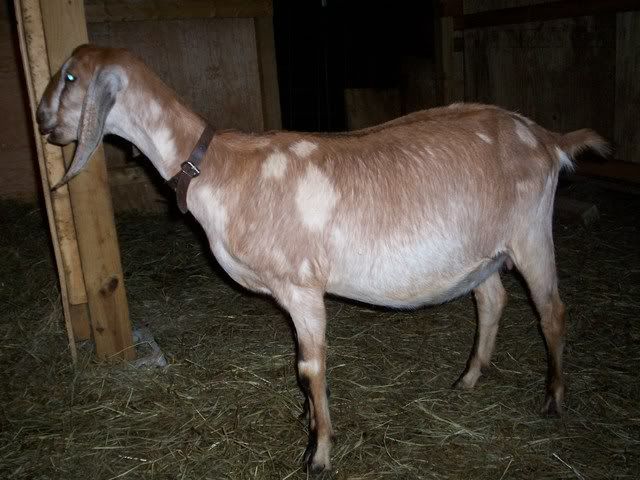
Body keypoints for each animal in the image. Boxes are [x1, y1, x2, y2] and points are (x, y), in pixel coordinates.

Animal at [37, 45, 608, 472]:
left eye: (69, 75)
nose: (42, 121)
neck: (218, 168)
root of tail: (546, 137)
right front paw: (310, 426)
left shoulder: (301, 286)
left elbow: (310, 367)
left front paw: (319, 453)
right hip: (481, 253)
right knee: (492, 299)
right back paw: (468, 379)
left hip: (530, 233)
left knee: (552, 311)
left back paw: (554, 400)